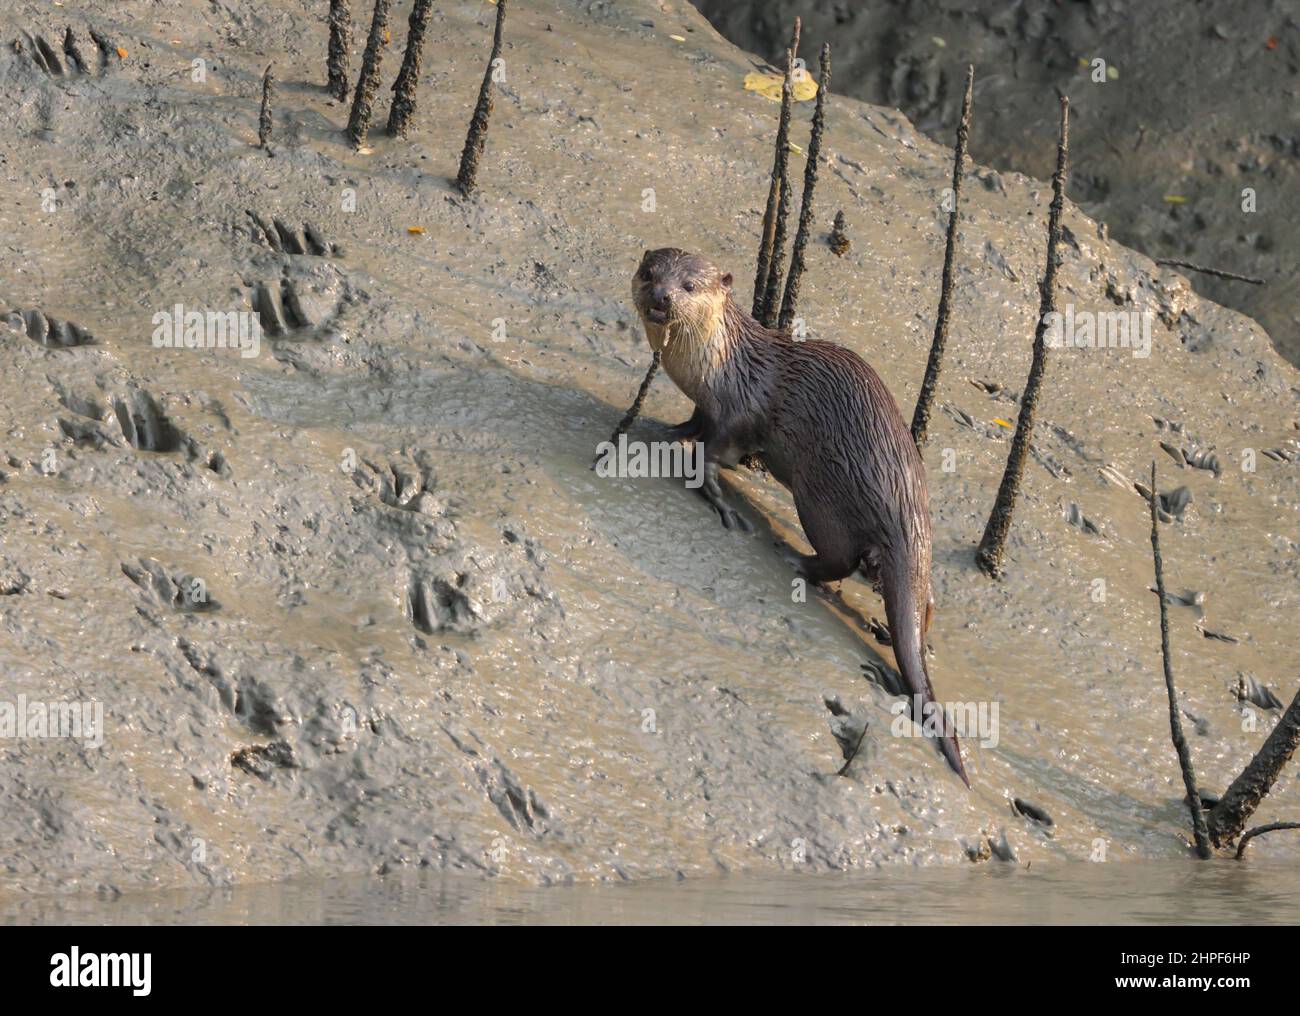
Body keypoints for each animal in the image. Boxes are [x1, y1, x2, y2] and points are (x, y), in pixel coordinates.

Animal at [629, 246, 967, 789]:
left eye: (689, 286)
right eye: (650, 272)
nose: (661, 296)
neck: (718, 366)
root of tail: (904, 503)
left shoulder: (738, 414)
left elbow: (716, 454)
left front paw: (719, 500)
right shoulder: (707, 405)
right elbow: (693, 422)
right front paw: (668, 430)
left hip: (821, 497)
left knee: (839, 559)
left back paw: (793, 558)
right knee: (923, 600)